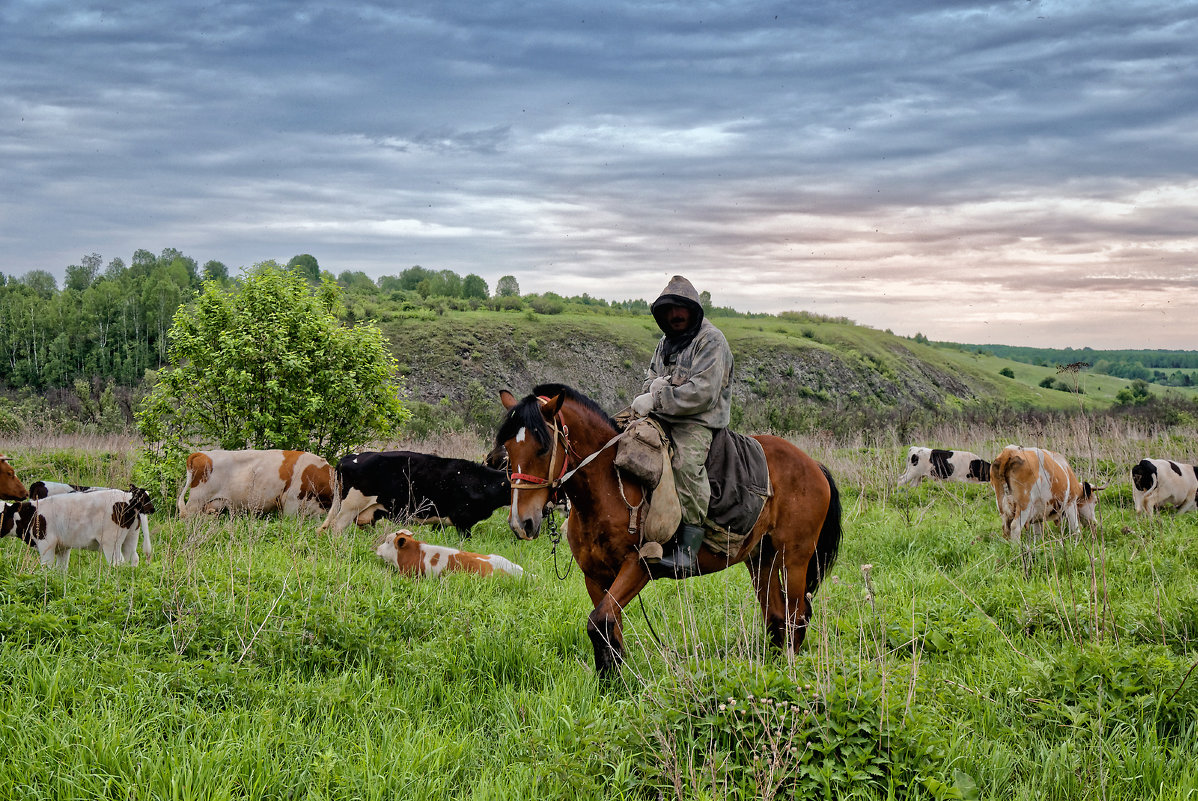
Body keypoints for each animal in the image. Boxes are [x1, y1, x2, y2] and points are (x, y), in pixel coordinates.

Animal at [0, 483, 156, 565]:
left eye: (2, 514)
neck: (33, 514)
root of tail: (131, 498)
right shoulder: (63, 547)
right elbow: (60, 570)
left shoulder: (46, 545)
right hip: (130, 539)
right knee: (133, 559)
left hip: (111, 543)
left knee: (117, 562)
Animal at [495, 383, 843, 670]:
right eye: (507, 450)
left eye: (542, 448)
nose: (521, 522)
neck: (609, 485)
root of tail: (814, 466)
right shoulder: (595, 577)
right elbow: (611, 633)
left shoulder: (638, 566)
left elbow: (600, 623)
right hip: (761, 560)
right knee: (776, 617)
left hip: (794, 559)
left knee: (797, 616)